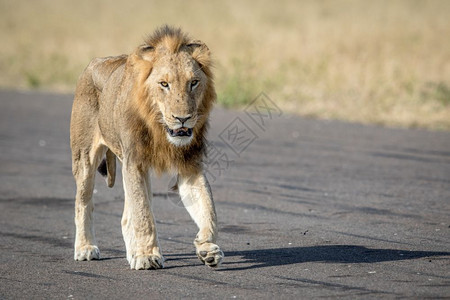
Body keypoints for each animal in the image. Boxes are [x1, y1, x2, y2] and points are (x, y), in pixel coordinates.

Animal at [70, 25, 223, 270]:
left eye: (193, 82)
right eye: (164, 84)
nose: (183, 118)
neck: (160, 128)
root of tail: (94, 62)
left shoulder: (189, 165)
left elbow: (208, 209)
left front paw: (207, 247)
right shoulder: (134, 162)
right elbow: (143, 214)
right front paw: (147, 256)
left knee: (125, 217)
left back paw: (132, 252)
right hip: (84, 158)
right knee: (83, 203)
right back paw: (85, 248)